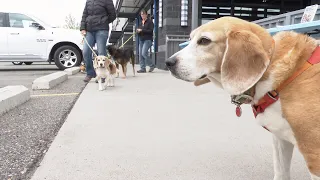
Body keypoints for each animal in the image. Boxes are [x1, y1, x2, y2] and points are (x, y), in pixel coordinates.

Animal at [165, 16, 320, 179]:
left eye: (204, 41)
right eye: (190, 39)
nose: (168, 63)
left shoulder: (314, 155)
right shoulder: (280, 139)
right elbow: (281, 173)